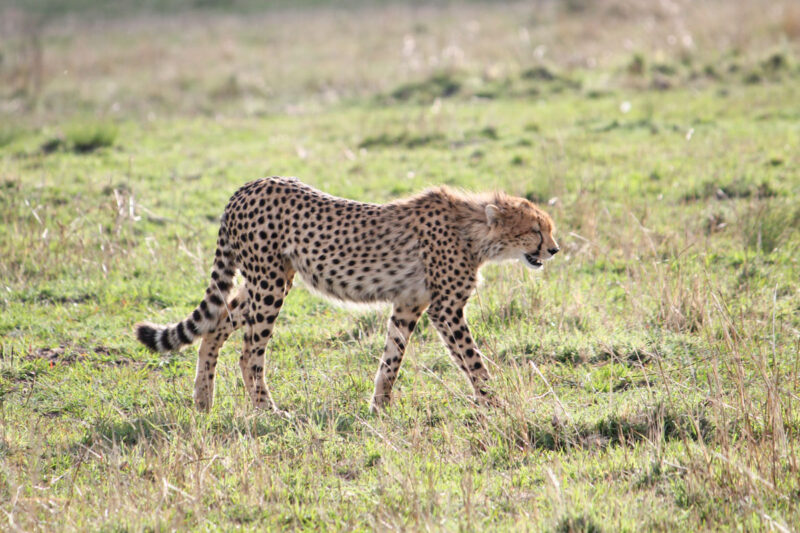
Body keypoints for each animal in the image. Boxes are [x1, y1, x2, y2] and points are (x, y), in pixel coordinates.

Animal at [134, 178, 560, 412]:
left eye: (548, 229)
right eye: (535, 230)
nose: (554, 250)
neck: (474, 231)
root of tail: (246, 187)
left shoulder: (409, 303)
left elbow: (392, 357)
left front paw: (380, 407)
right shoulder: (445, 308)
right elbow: (472, 360)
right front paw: (495, 402)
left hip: (274, 280)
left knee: (216, 325)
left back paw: (203, 402)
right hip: (267, 283)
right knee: (249, 351)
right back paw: (266, 410)